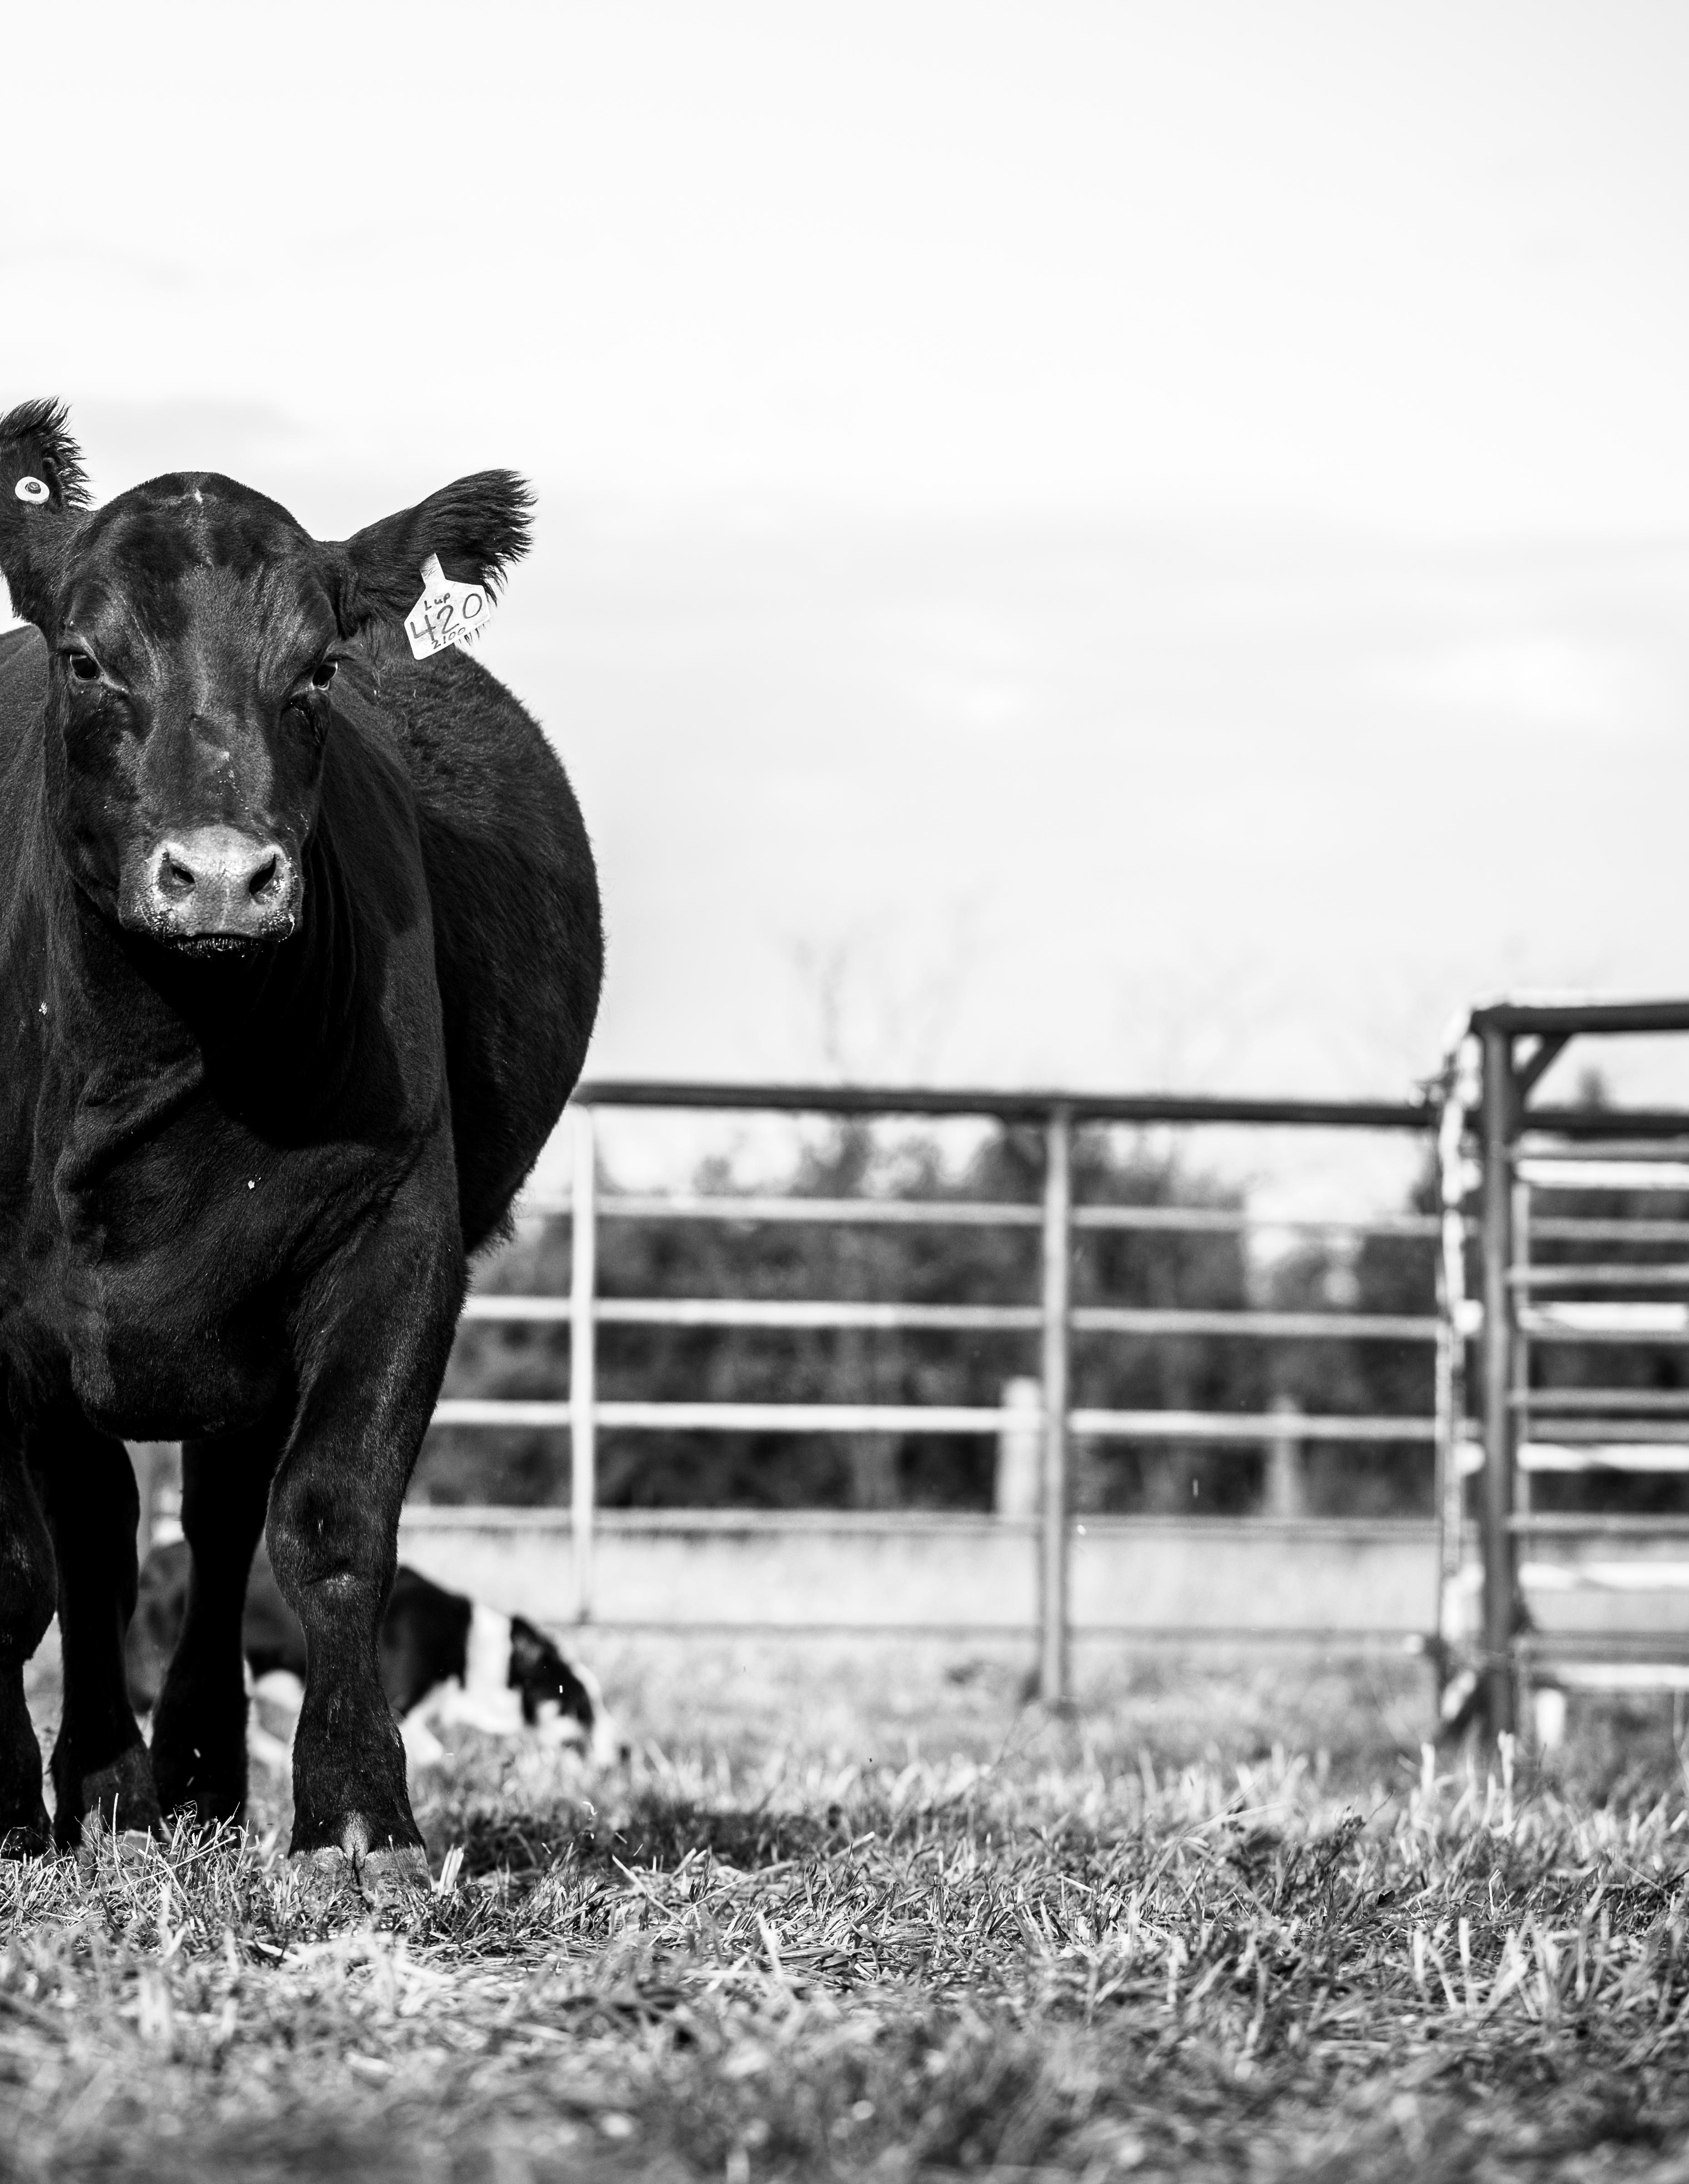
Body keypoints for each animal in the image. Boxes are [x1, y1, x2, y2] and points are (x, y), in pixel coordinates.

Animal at [0, 400, 602, 1897]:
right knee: (103, 1535)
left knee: (215, 1532)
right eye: (85, 657)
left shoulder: (393, 1242)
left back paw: (201, 1779)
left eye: (319, 667)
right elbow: (26, 1560)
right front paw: (20, 1804)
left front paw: (356, 1816)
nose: (219, 874)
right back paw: (112, 1786)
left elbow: (331, 1521)